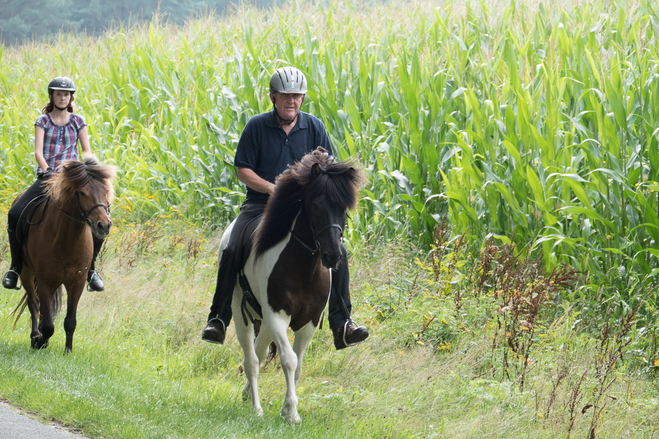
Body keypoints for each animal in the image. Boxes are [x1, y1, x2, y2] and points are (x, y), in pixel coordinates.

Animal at [13, 158, 116, 354]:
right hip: (26, 272)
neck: (67, 239)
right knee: (33, 303)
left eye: (106, 190)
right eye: (82, 193)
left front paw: (68, 351)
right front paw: (40, 341)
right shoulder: (45, 281)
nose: (104, 225)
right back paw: (34, 335)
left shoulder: (77, 282)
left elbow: (70, 321)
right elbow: (48, 325)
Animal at [222, 150, 366, 424]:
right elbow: (288, 360)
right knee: (252, 359)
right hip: (239, 311)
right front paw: (292, 412)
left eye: (343, 208)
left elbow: (297, 366)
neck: (303, 269)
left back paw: (247, 395)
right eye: (316, 204)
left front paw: (287, 409)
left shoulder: (309, 321)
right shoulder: (277, 315)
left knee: (259, 351)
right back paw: (255, 407)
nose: (332, 256)